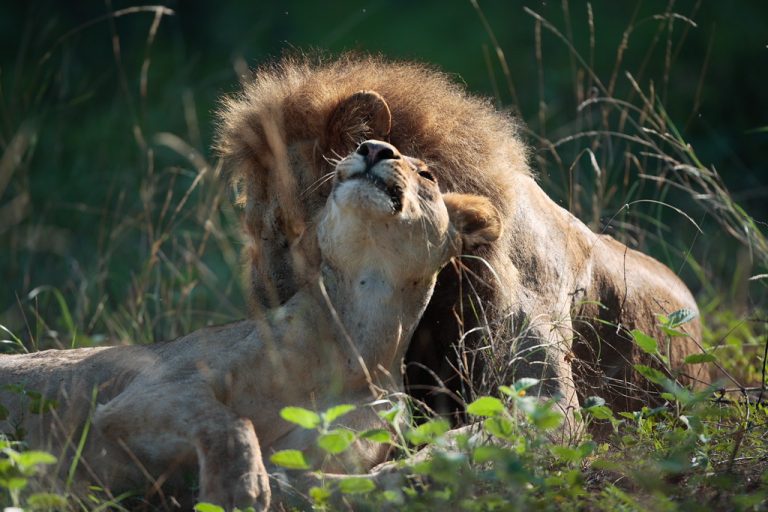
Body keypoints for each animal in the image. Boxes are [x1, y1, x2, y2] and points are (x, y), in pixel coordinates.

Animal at [0, 141, 502, 509]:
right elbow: (229, 421)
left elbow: (332, 485)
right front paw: (238, 487)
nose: (373, 147)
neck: (357, 336)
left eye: (428, 175)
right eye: (365, 144)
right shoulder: (147, 394)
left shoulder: (333, 450)